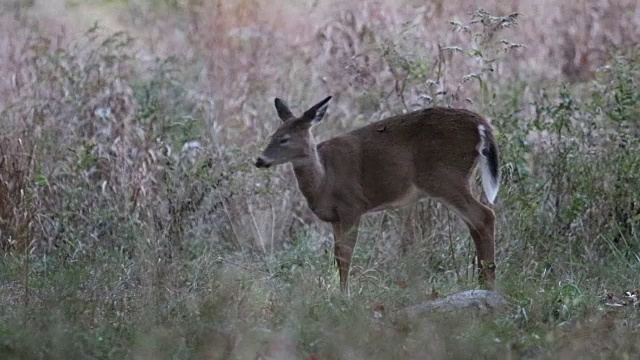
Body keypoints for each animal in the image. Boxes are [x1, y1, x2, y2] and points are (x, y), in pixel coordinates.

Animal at [255, 95, 500, 296]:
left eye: (284, 139)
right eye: (272, 135)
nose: (259, 160)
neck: (325, 178)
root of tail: (481, 124)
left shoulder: (352, 205)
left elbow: (345, 253)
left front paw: (344, 295)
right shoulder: (336, 217)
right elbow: (337, 254)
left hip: (444, 175)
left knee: (484, 215)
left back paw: (488, 284)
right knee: (475, 223)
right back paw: (481, 282)